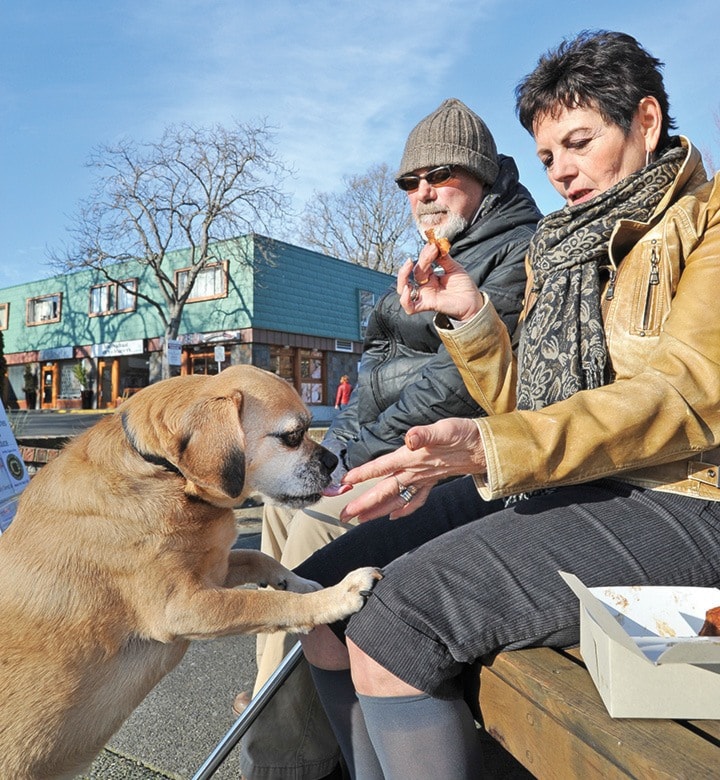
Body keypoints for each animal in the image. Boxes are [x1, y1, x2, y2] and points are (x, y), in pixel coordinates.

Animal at [0, 366, 382, 780]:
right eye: (293, 436)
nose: (335, 459)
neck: (162, 473)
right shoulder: (183, 605)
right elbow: (267, 604)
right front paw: (336, 596)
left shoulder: (213, 572)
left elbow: (257, 558)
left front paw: (297, 581)